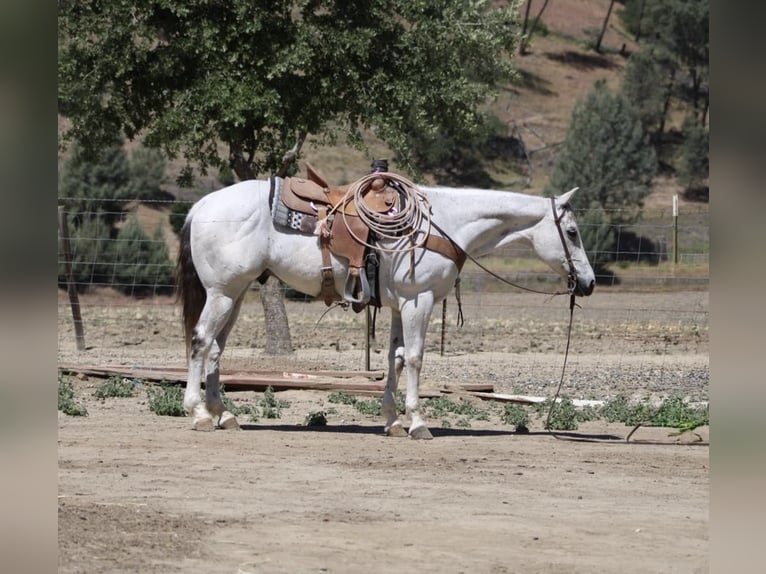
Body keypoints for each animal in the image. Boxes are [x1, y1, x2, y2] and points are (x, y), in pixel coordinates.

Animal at [175, 174, 595, 439]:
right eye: (572, 232)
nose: (589, 283)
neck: (443, 223)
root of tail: (200, 206)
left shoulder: (398, 305)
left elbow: (394, 359)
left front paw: (392, 421)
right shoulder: (418, 301)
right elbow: (415, 358)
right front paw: (418, 423)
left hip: (235, 293)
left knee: (216, 348)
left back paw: (224, 414)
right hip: (222, 292)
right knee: (200, 341)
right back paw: (198, 413)